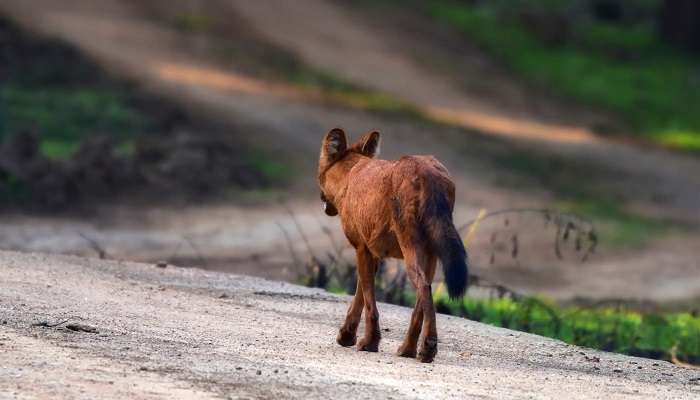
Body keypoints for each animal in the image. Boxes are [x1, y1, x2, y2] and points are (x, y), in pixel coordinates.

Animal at [320, 128, 468, 362]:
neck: (350, 176)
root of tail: (428, 173)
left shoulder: (361, 248)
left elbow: (369, 302)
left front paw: (368, 342)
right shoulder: (373, 254)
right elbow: (360, 296)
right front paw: (347, 335)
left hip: (411, 249)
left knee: (423, 287)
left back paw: (427, 348)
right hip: (432, 254)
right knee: (422, 298)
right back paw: (408, 349)